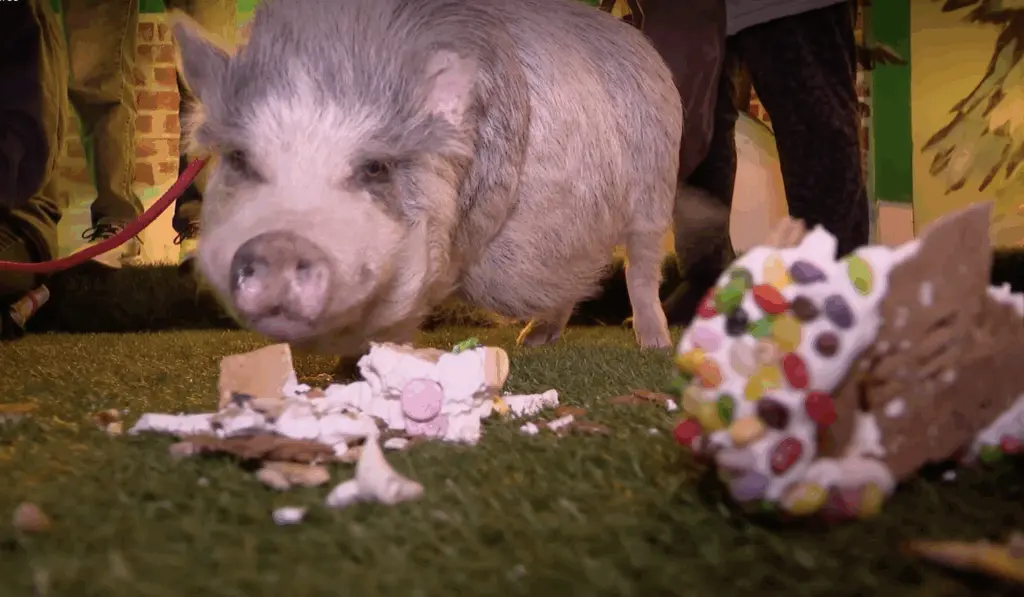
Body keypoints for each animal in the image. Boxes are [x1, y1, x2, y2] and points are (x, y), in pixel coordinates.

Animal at [171, 0, 690, 358]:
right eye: (239, 158)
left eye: (376, 167)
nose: (280, 244)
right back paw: (532, 341)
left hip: (656, 183)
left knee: (640, 269)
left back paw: (654, 345)